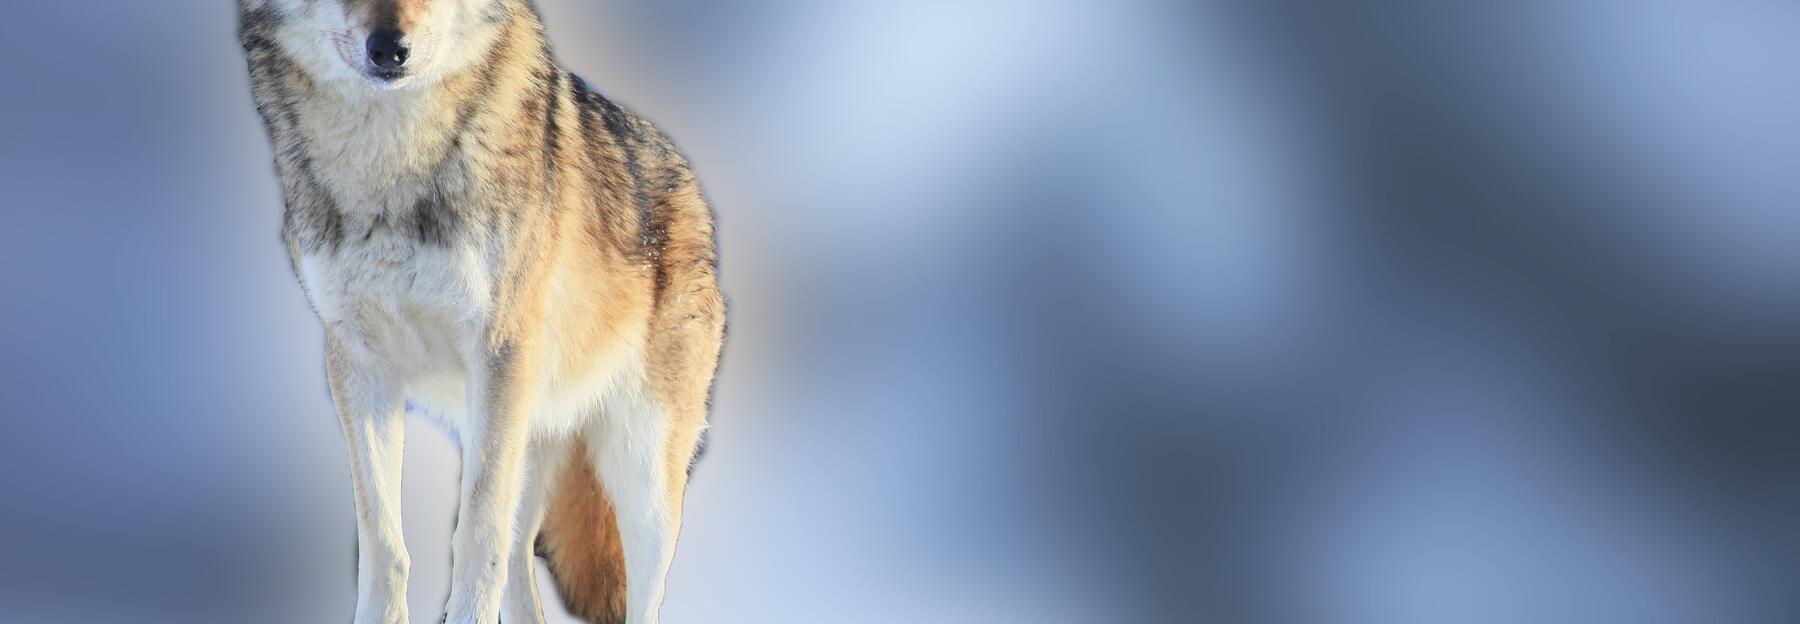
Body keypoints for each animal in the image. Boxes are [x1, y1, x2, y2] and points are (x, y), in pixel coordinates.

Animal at [237, 1, 725, 622]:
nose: (389, 49)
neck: (390, 165)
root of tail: (693, 189)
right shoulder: (357, 362)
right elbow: (382, 542)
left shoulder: (498, 350)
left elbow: (475, 537)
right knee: (518, 562)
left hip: (640, 476)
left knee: (634, 587)